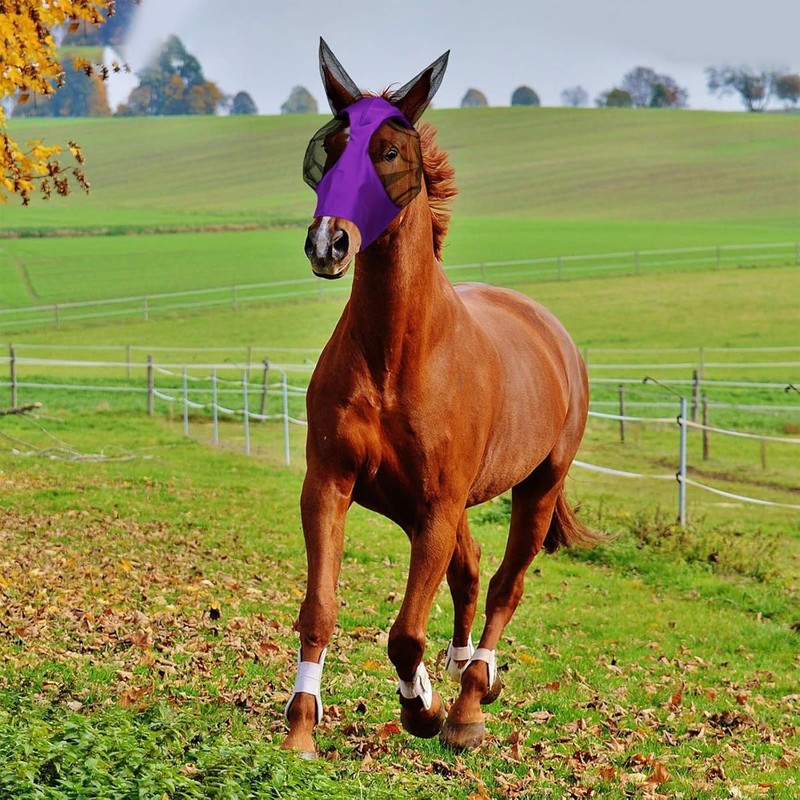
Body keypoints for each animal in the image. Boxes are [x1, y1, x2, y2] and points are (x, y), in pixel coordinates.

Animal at [282, 39, 600, 756]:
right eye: (331, 148)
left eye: (389, 152)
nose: (328, 242)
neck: (397, 356)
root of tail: (555, 335)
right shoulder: (332, 485)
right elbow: (320, 609)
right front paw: (300, 730)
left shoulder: (435, 505)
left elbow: (405, 632)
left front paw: (422, 709)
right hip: (426, 506)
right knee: (472, 570)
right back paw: (460, 673)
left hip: (534, 489)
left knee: (505, 585)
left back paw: (469, 702)